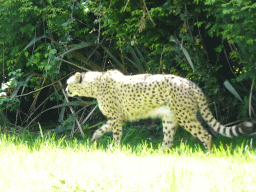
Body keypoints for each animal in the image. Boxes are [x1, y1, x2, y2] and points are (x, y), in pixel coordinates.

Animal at [66, 70, 254, 151]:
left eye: (69, 83)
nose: (66, 90)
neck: (95, 83)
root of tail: (191, 83)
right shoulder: (118, 117)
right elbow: (100, 129)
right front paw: (94, 140)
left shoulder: (116, 117)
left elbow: (116, 134)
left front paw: (115, 149)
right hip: (170, 118)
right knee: (169, 140)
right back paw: (158, 155)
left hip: (185, 116)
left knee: (206, 134)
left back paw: (207, 154)